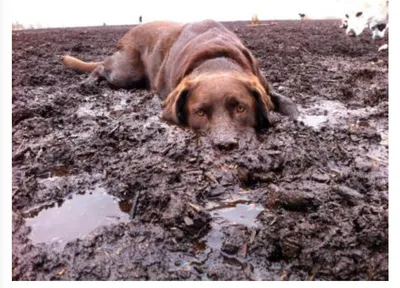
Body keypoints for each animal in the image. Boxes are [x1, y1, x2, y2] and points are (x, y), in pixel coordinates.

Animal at [62, 20, 298, 150]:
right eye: (199, 112)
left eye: (241, 108)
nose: (225, 145)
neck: (216, 59)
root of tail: (130, 31)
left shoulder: (263, 85)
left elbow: (288, 103)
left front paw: (296, 118)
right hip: (125, 73)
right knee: (102, 67)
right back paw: (89, 82)